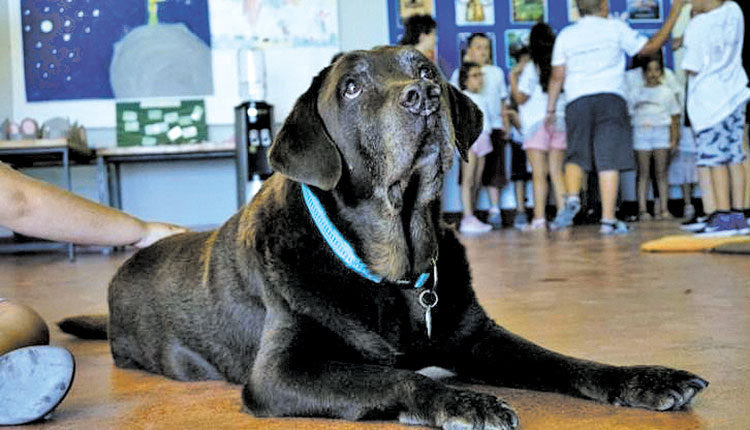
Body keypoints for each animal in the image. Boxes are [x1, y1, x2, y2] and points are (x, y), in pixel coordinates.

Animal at [60, 45, 712, 428]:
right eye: (350, 88)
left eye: (425, 70)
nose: (423, 96)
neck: (390, 271)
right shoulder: (281, 373)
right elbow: (389, 375)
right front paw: (461, 400)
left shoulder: (478, 337)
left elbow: (562, 361)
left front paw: (645, 379)